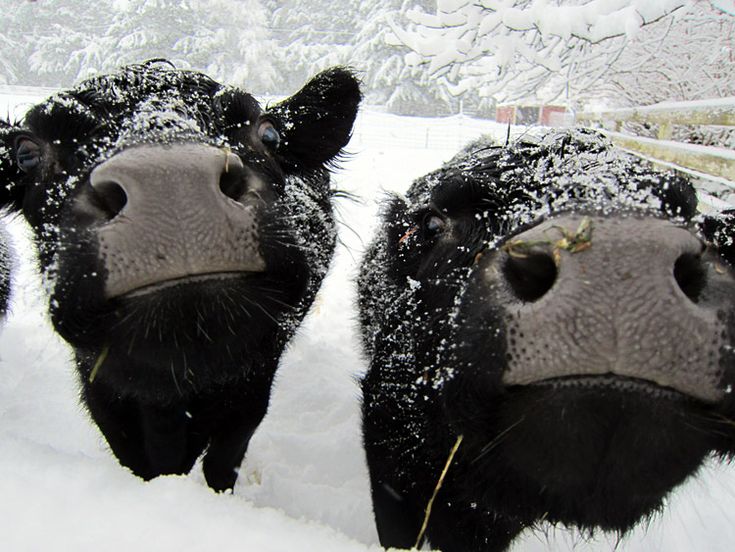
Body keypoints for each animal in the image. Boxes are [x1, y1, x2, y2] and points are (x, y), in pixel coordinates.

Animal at [0, 60, 361, 492]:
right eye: (26, 153)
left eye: (268, 133)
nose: (171, 183)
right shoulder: (102, 391)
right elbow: (139, 461)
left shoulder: (254, 382)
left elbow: (223, 460)